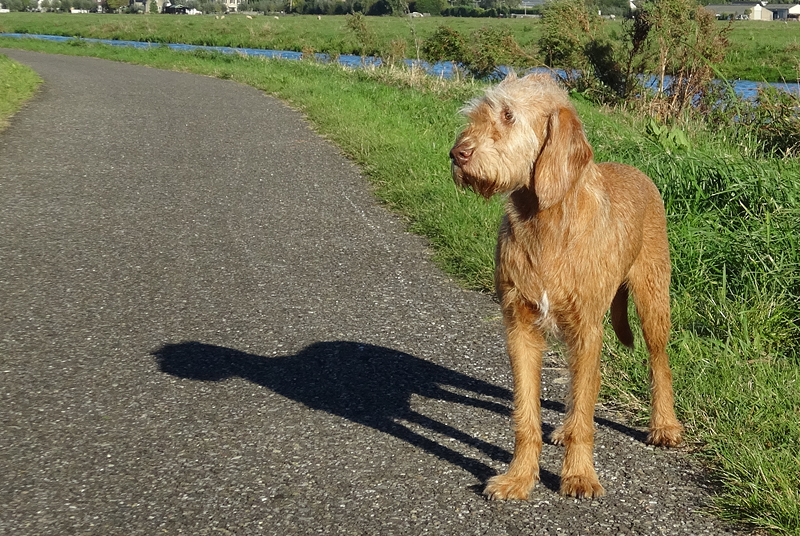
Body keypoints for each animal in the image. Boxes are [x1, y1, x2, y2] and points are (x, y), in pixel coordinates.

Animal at [449, 73, 683, 500]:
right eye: (478, 113)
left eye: (508, 115)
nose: (458, 154)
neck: (545, 218)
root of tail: (638, 171)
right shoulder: (520, 327)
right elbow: (526, 412)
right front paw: (519, 477)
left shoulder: (587, 329)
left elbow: (585, 409)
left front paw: (579, 475)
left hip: (653, 299)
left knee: (658, 363)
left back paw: (664, 425)